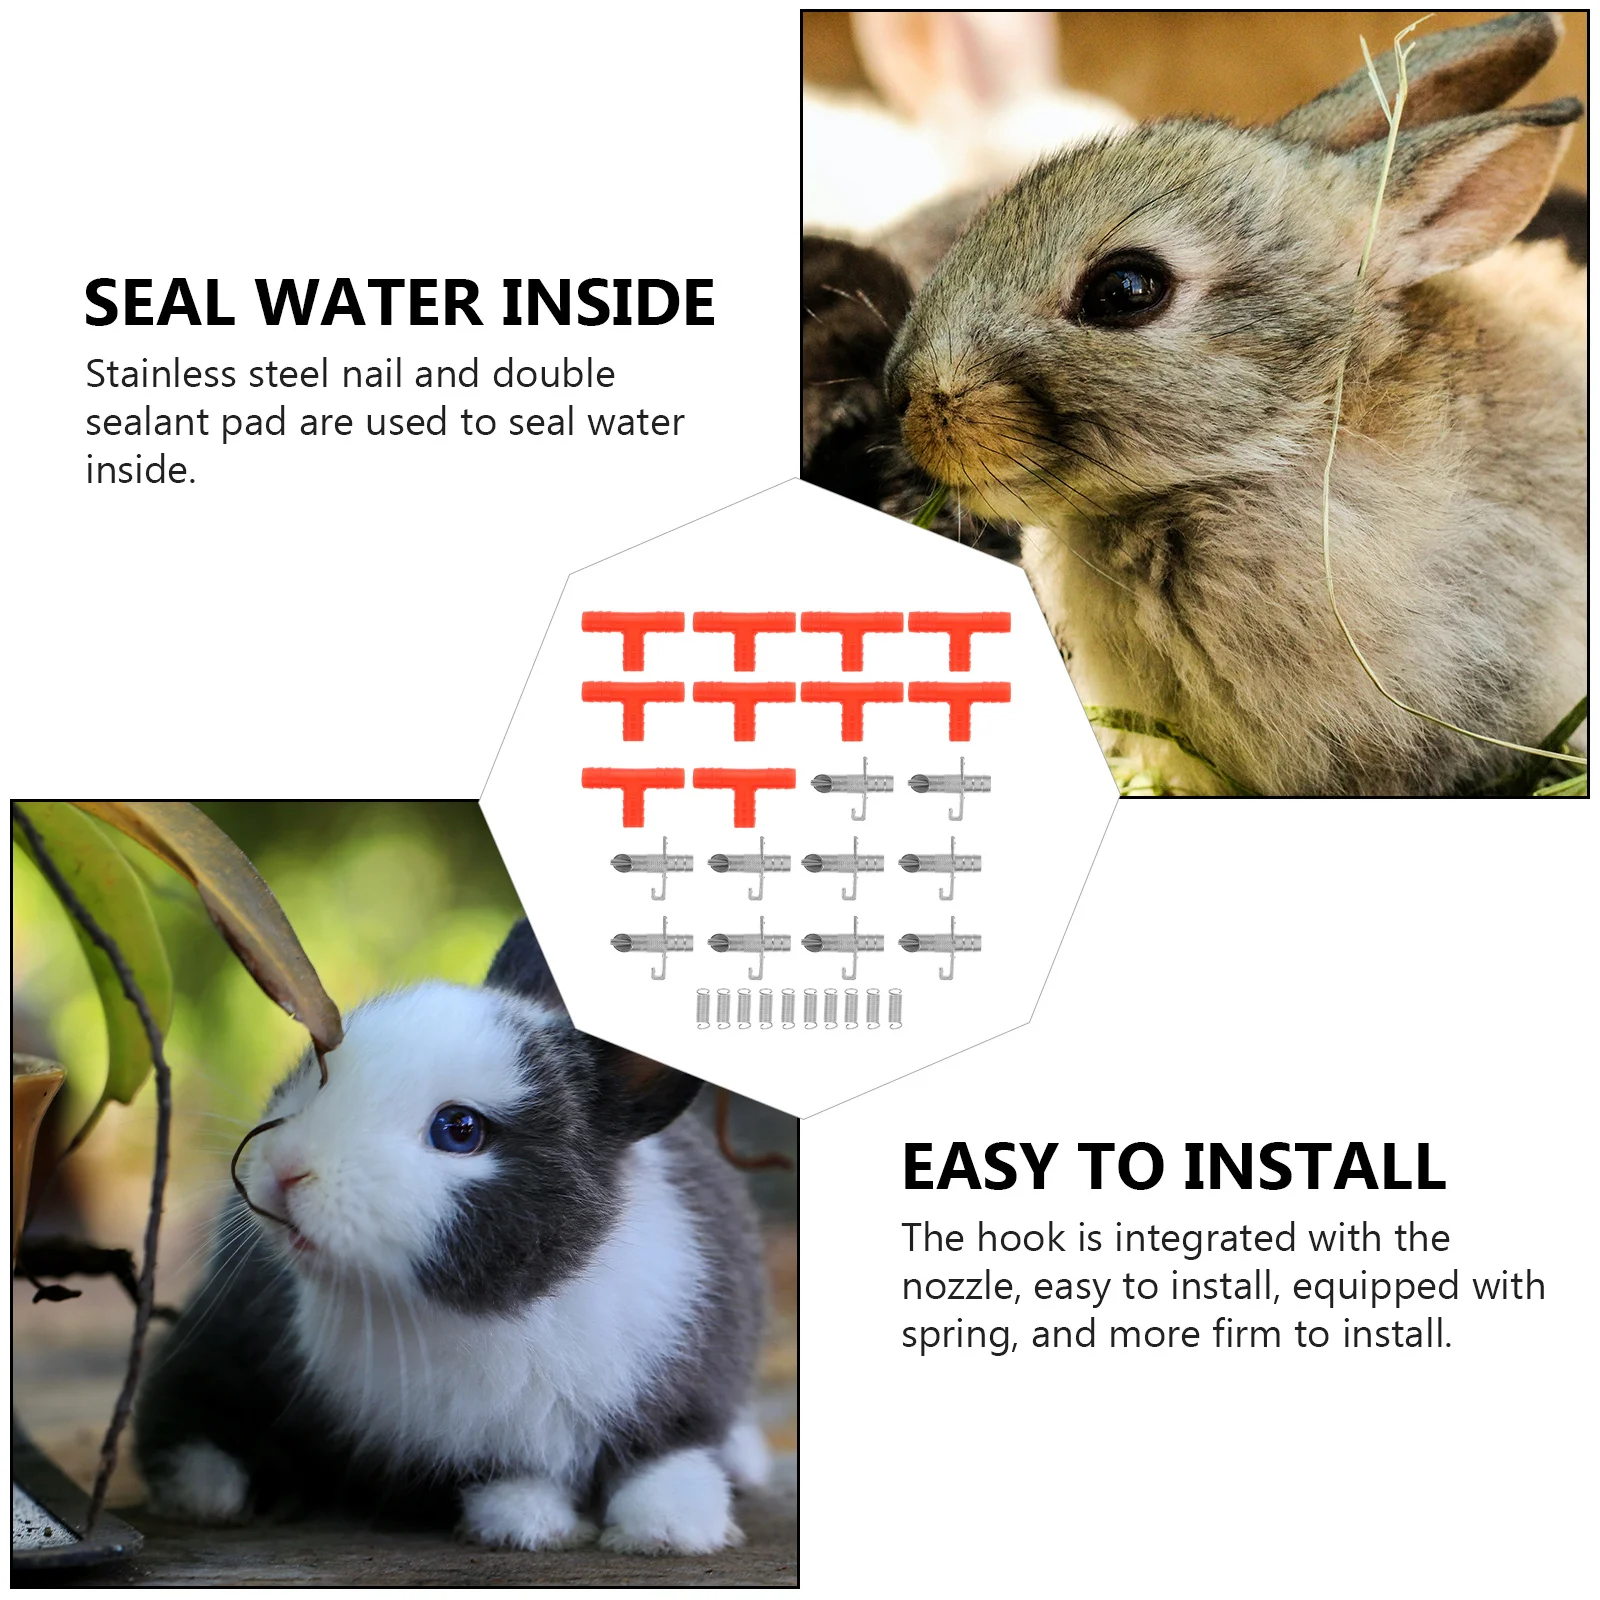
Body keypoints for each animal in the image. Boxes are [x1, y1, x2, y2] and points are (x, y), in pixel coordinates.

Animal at [133, 919, 770, 1555]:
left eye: (459, 1130)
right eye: (317, 1071)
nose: (285, 1168)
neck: (505, 1312)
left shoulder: (687, 1387)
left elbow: (665, 1459)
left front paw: (670, 1531)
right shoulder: (472, 1449)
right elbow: (508, 1477)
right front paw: (529, 1526)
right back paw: (212, 1492)